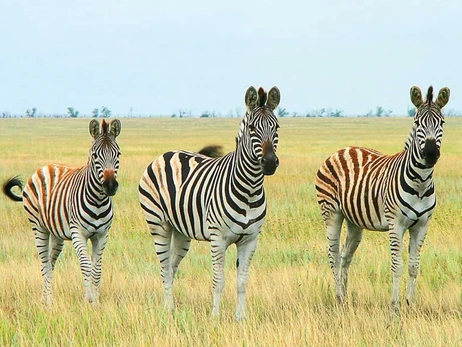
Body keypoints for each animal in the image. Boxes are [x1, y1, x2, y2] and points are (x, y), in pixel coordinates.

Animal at [2, 118, 122, 306]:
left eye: (118, 154)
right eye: (95, 155)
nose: (110, 186)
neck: (98, 200)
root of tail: (46, 166)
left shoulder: (102, 234)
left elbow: (97, 269)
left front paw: (96, 302)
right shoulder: (78, 233)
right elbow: (86, 266)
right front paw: (88, 300)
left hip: (57, 234)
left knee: (51, 263)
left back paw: (44, 299)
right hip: (39, 227)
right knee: (44, 264)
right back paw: (49, 303)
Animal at [139, 85, 280, 320]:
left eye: (276, 127)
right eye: (252, 128)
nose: (269, 163)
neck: (250, 189)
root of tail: (167, 153)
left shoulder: (251, 240)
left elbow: (242, 282)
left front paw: (241, 318)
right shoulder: (218, 239)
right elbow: (218, 280)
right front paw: (215, 317)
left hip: (181, 232)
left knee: (172, 267)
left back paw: (172, 306)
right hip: (159, 225)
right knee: (164, 268)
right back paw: (168, 309)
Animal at [316, 85, 450, 312]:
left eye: (441, 122)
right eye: (417, 122)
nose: (431, 153)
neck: (421, 183)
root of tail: (343, 149)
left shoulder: (422, 225)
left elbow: (414, 266)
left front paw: (410, 305)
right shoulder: (396, 224)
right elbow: (397, 266)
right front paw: (395, 307)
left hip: (354, 221)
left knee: (345, 256)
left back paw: (346, 298)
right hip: (331, 213)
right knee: (334, 256)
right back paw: (338, 298)